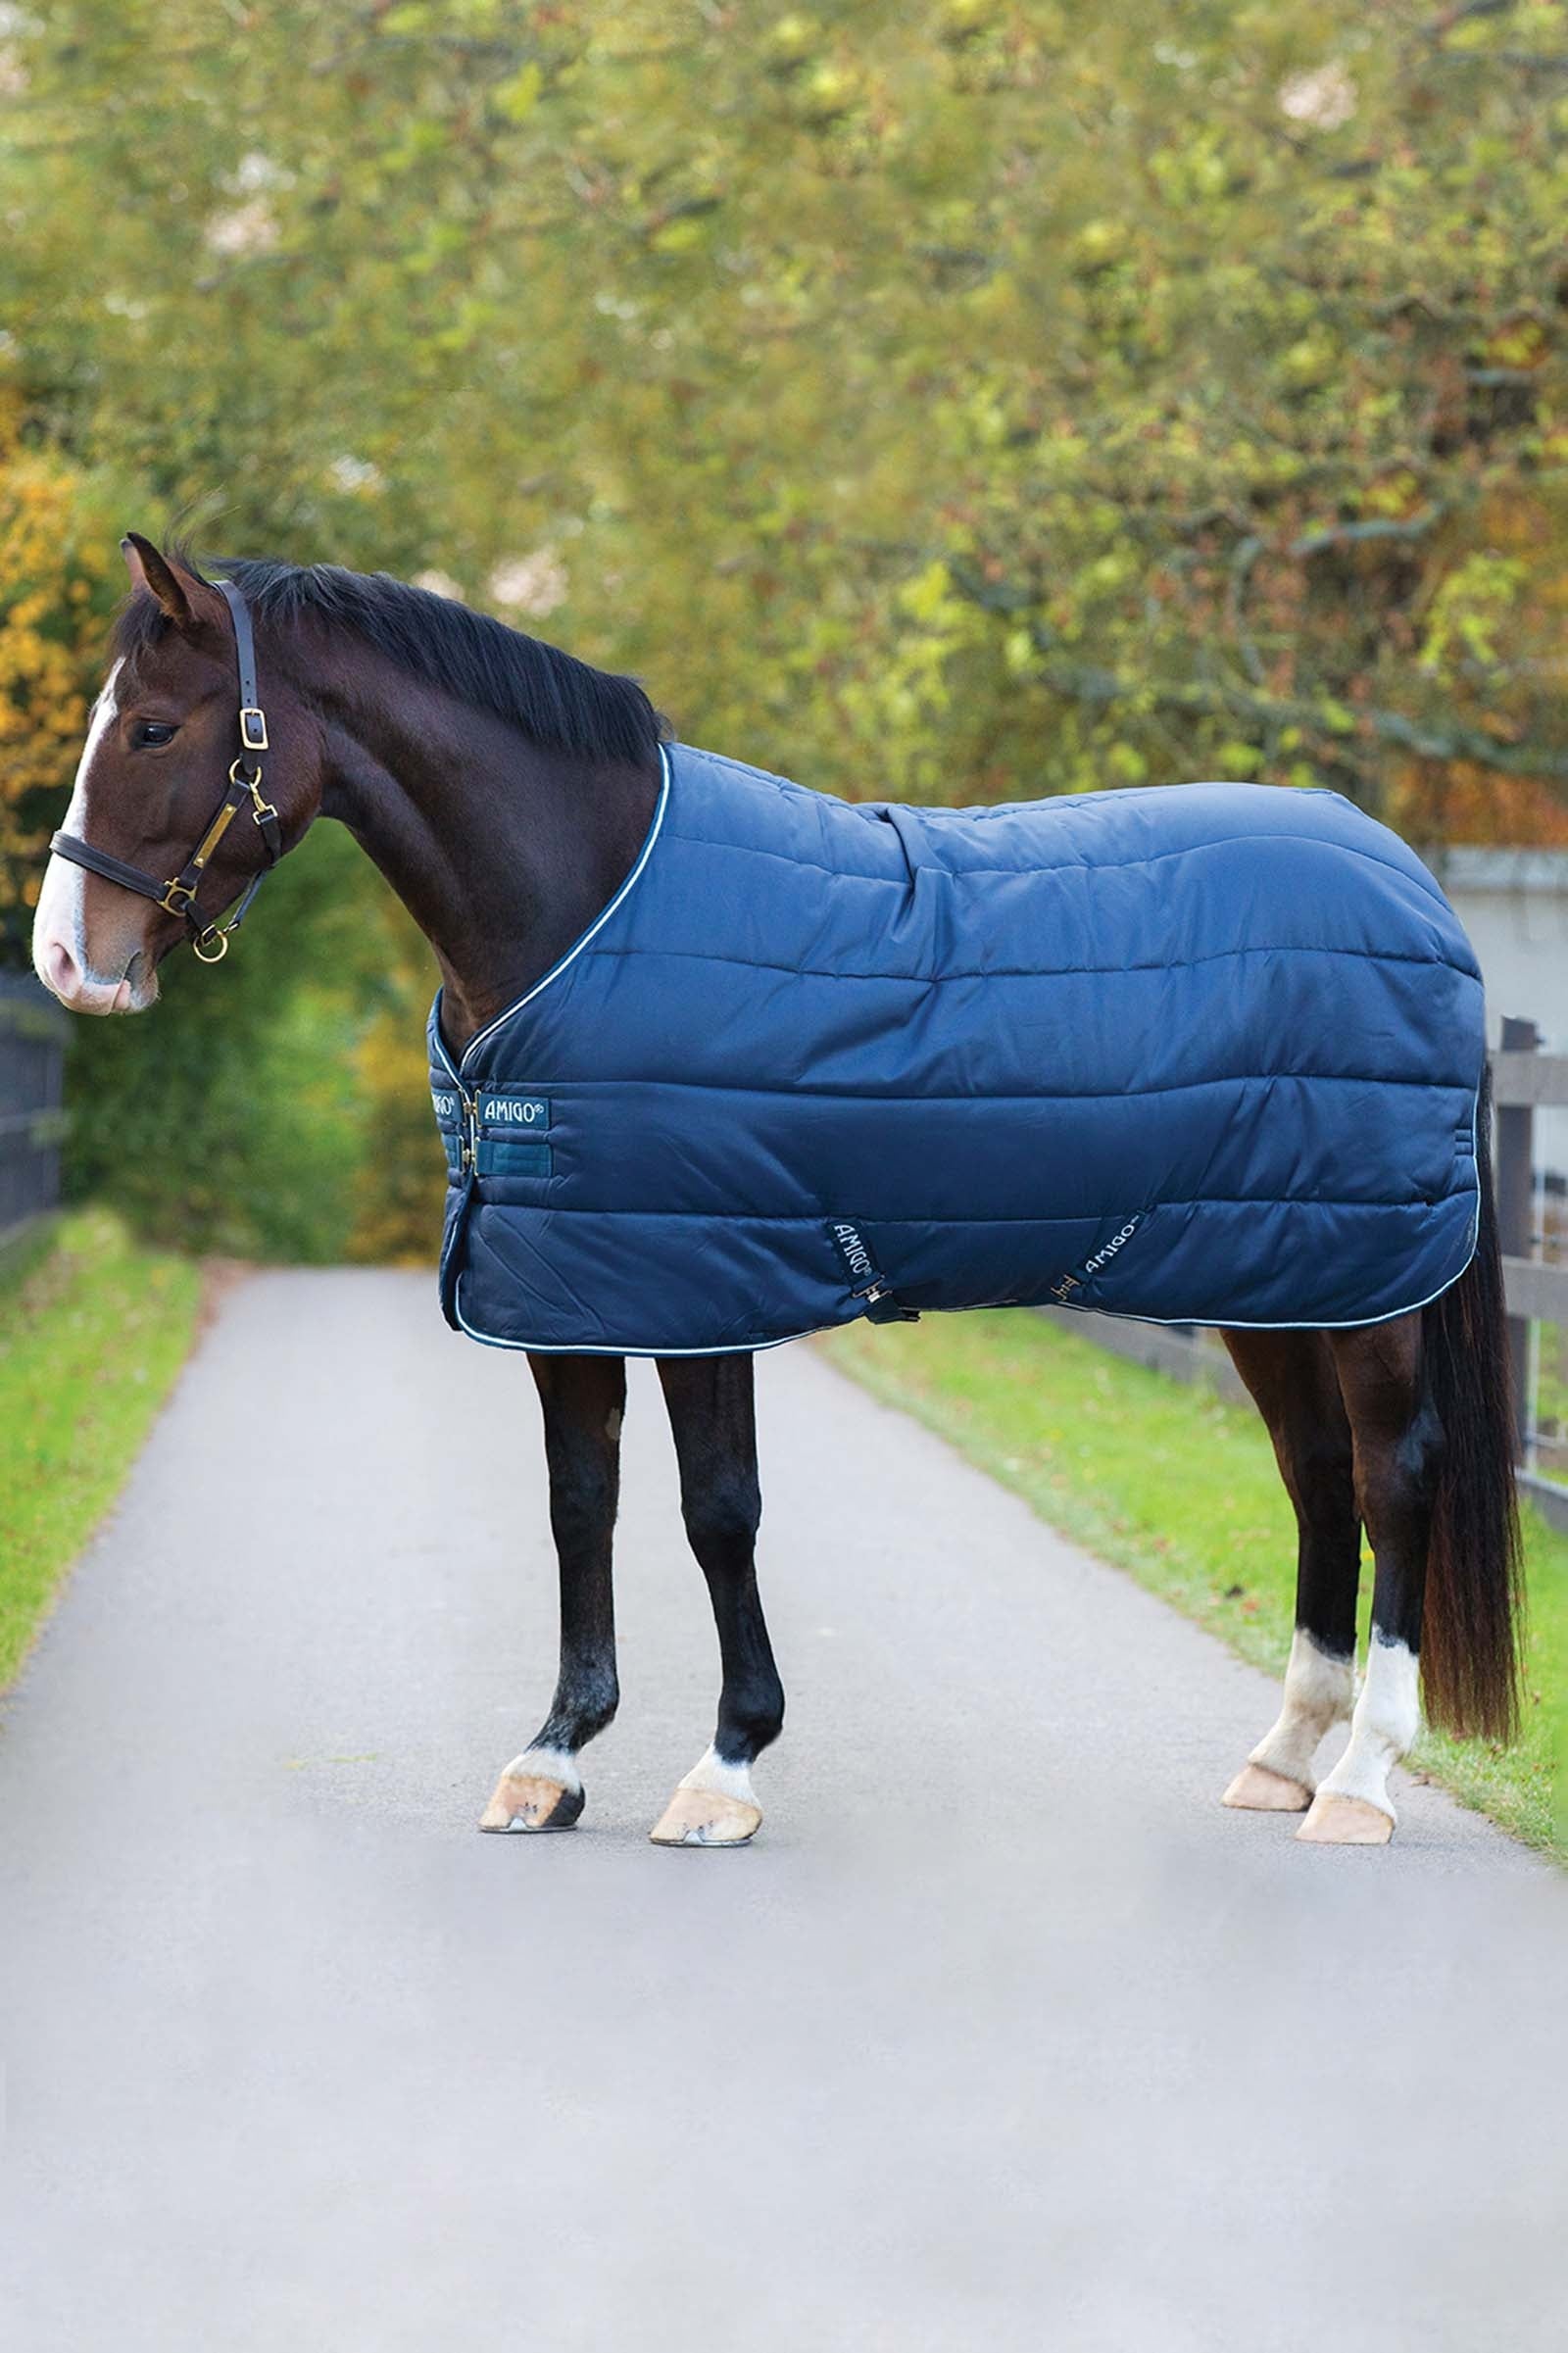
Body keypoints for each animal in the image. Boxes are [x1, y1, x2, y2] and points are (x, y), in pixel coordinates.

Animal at [32, 535, 1521, 1850]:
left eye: (153, 729)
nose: (66, 958)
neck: (585, 913)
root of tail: (1415, 887)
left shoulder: (703, 1287)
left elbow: (717, 1514)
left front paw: (725, 1767)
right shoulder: (573, 1293)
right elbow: (580, 1505)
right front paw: (553, 1759)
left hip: (1372, 1292)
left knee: (1393, 1478)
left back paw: (1361, 1781)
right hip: (1284, 1278)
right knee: (1318, 1477)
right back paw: (1284, 1758)